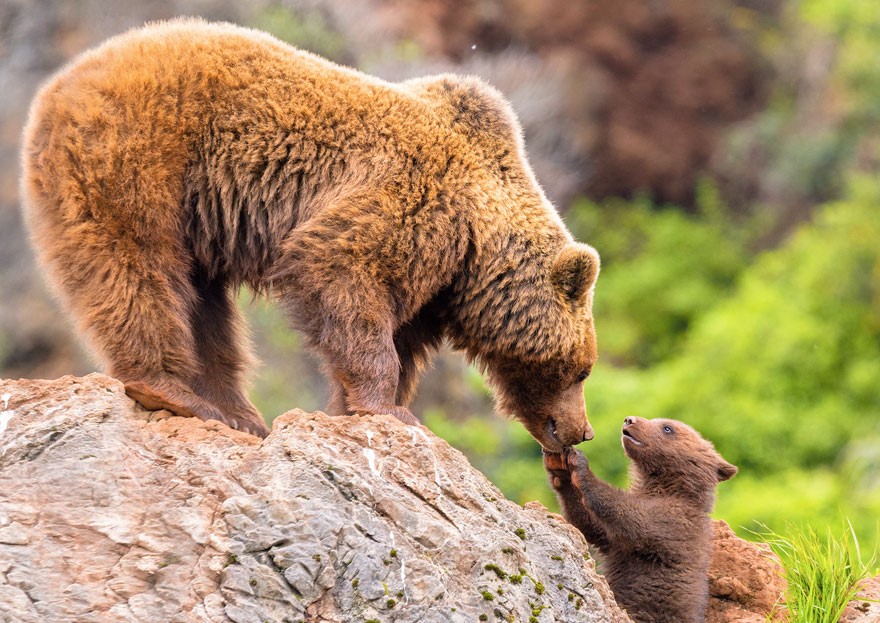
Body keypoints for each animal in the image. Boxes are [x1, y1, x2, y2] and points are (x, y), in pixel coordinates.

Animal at [20, 19, 600, 446]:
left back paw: (237, 413)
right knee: (137, 267)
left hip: (193, 216)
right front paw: (389, 409)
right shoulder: (414, 205)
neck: (475, 247)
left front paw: (355, 408)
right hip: (138, 155)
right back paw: (170, 389)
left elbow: (399, 334)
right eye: (582, 371)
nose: (583, 432)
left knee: (205, 307)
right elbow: (342, 271)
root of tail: (57, 86)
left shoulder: (434, 283)